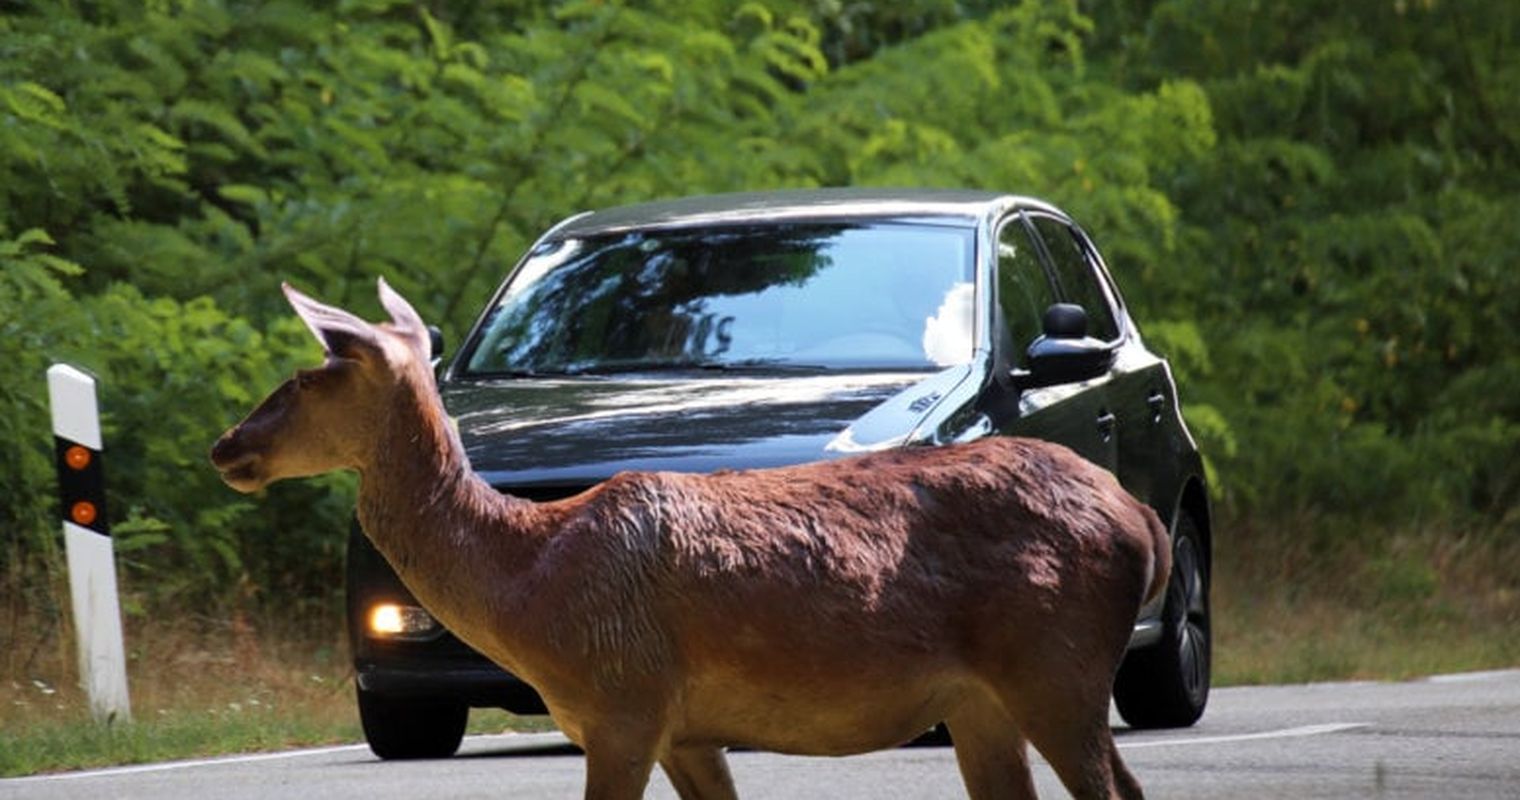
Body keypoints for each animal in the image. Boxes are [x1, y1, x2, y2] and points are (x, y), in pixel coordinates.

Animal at [211, 279, 1161, 796]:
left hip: (1057, 662)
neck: (528, 584)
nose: (227, 445)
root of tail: (1139, 518)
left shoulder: (623, 700)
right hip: (983, 703)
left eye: (305, 377)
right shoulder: (686, 728)